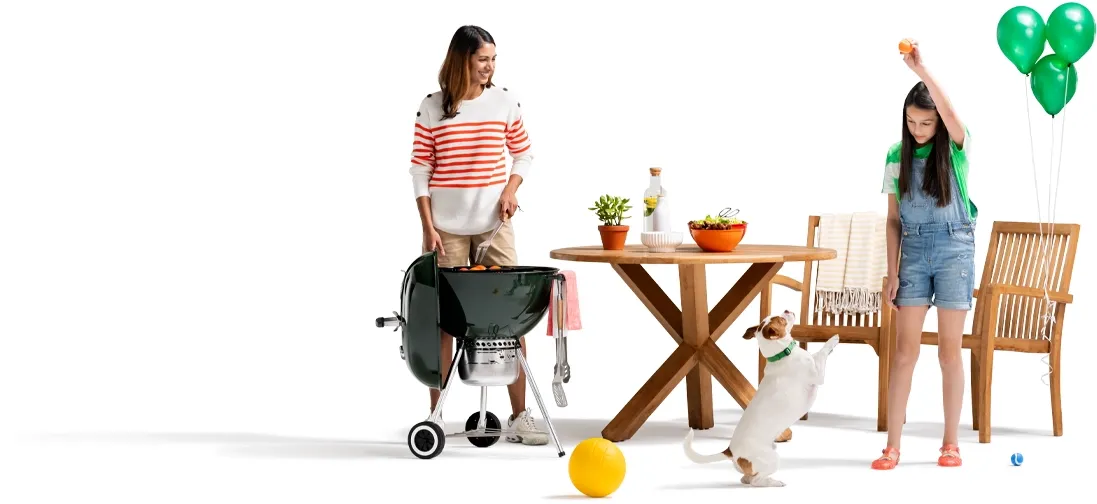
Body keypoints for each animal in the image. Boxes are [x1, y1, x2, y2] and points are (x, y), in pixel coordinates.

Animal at [675, 309, 838, 487]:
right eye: (781, 319)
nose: (787, 310)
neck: (781, 355)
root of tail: (731, 451)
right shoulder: (818, 375)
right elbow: (821, 353)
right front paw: (833, 339)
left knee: (745, 478)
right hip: (772, 459)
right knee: (755, 481)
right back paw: (775, 482)